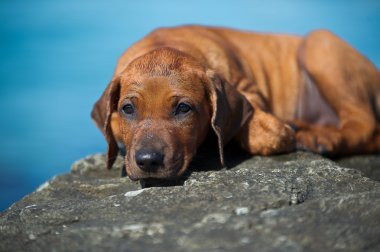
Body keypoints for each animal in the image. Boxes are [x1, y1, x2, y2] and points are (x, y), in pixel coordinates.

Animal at [92, 25, 380, 181]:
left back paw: (321, 137)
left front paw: (282, 131)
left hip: (320, 47)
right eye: (127, 109)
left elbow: (257, 126)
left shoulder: (247, 88)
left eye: (183, 108)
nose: (149, 161)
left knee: (366, 125)